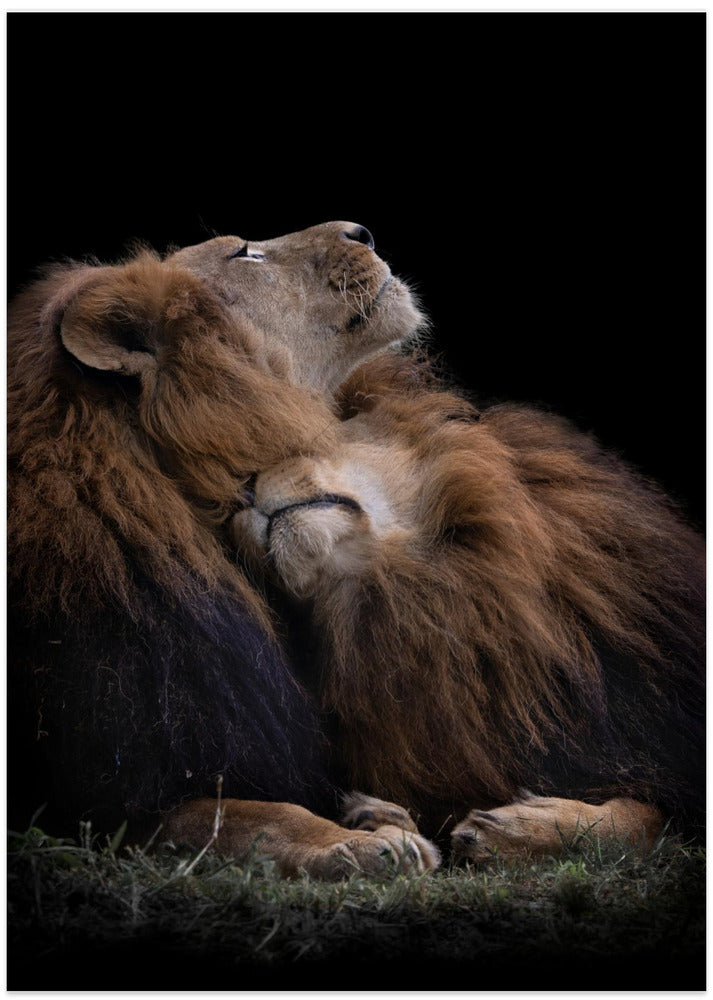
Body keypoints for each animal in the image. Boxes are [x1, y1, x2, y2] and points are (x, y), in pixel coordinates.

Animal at [8, 223, 440, 877]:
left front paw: (373, 814)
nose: (361, 231)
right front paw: (356, 842)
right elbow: (248, 816)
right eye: (242, 253)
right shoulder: (106, 806)